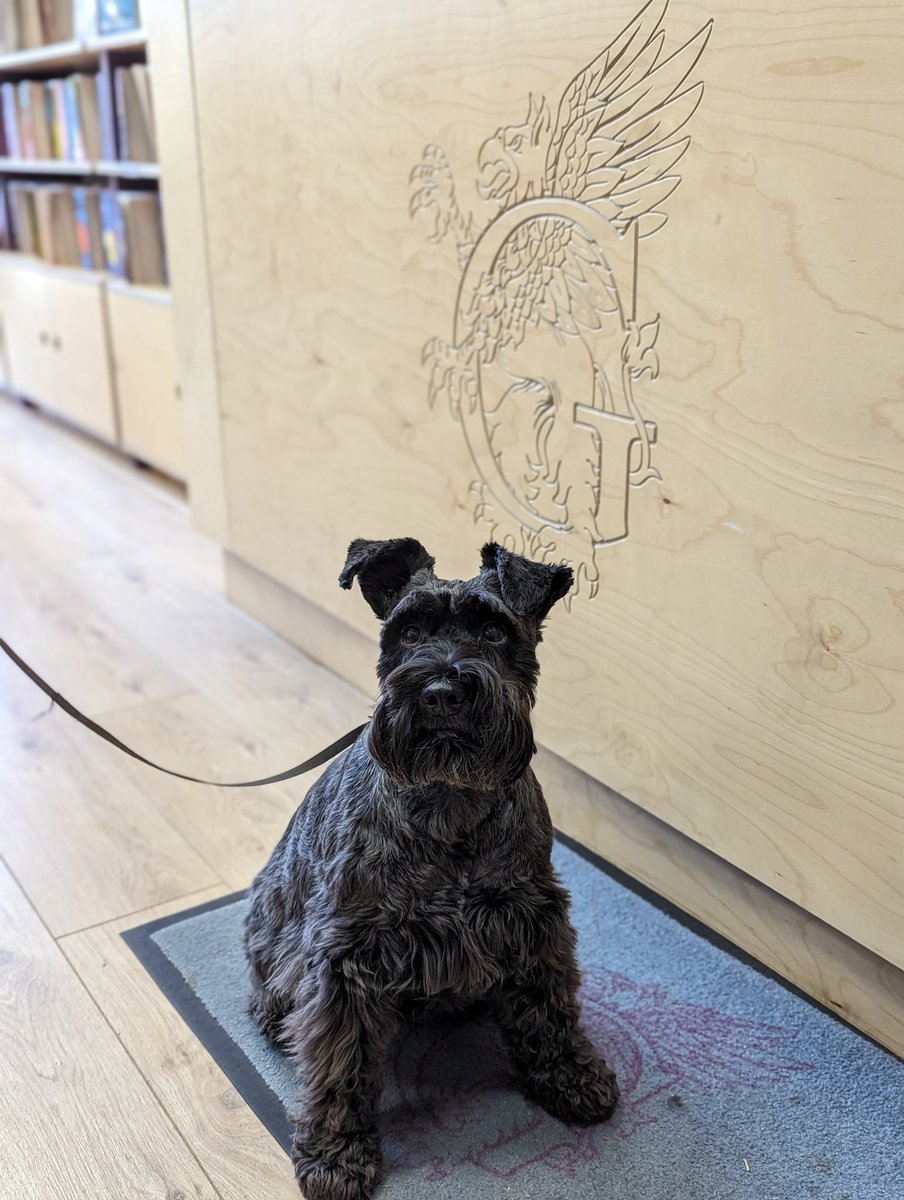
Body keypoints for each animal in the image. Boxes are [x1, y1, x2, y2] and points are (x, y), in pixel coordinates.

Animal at [243, 542, 619, 1200]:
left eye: (494, 631)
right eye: (409, 632)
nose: (442, 691)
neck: (449, 804)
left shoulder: (532, 920)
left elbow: (549, 1008)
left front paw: (571, 1075)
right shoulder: (346, 955)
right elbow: (339, 1058)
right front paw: (337, 1154)